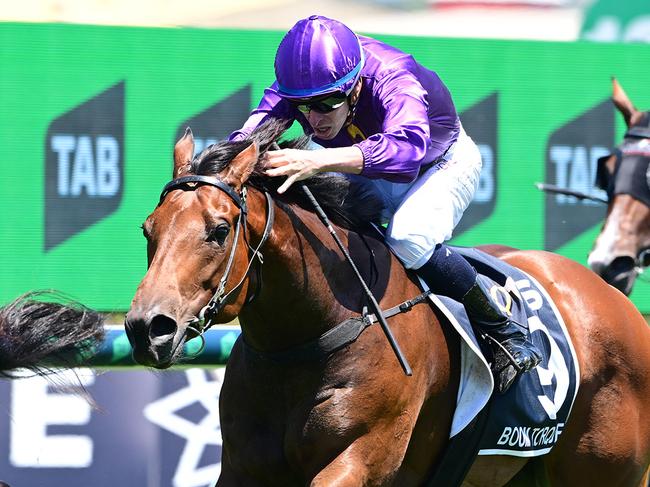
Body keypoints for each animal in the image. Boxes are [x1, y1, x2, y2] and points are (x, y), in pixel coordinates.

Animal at [125, 121, 648, 487]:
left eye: (218, 230)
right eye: (148, 229)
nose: (148, 328)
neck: (312, 336)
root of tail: (619, 304)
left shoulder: (358, 459)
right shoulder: (243, 468)